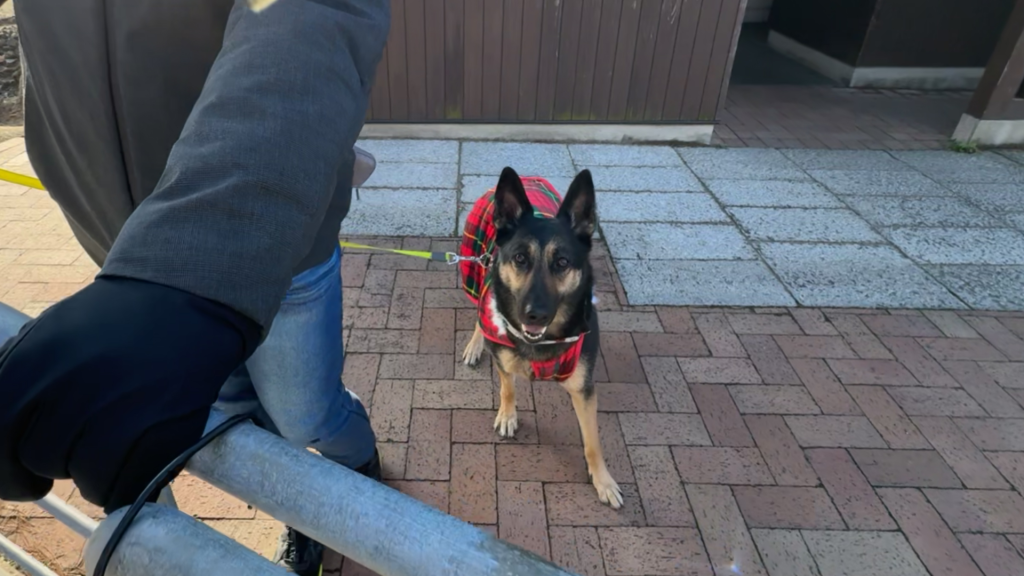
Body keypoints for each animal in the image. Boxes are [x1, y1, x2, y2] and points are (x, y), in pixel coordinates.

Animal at [460, 167, 622, 509]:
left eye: (562, 262)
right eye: (520, 258)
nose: (534, 315)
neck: (542, 341)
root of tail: (529, 178)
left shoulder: (584, 390)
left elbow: (593, 441)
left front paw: (603, 480)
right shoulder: (504, 361)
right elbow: (507, 388)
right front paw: (508, 415)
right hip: (474, 271)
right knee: (479, 308)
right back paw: (475, 344)